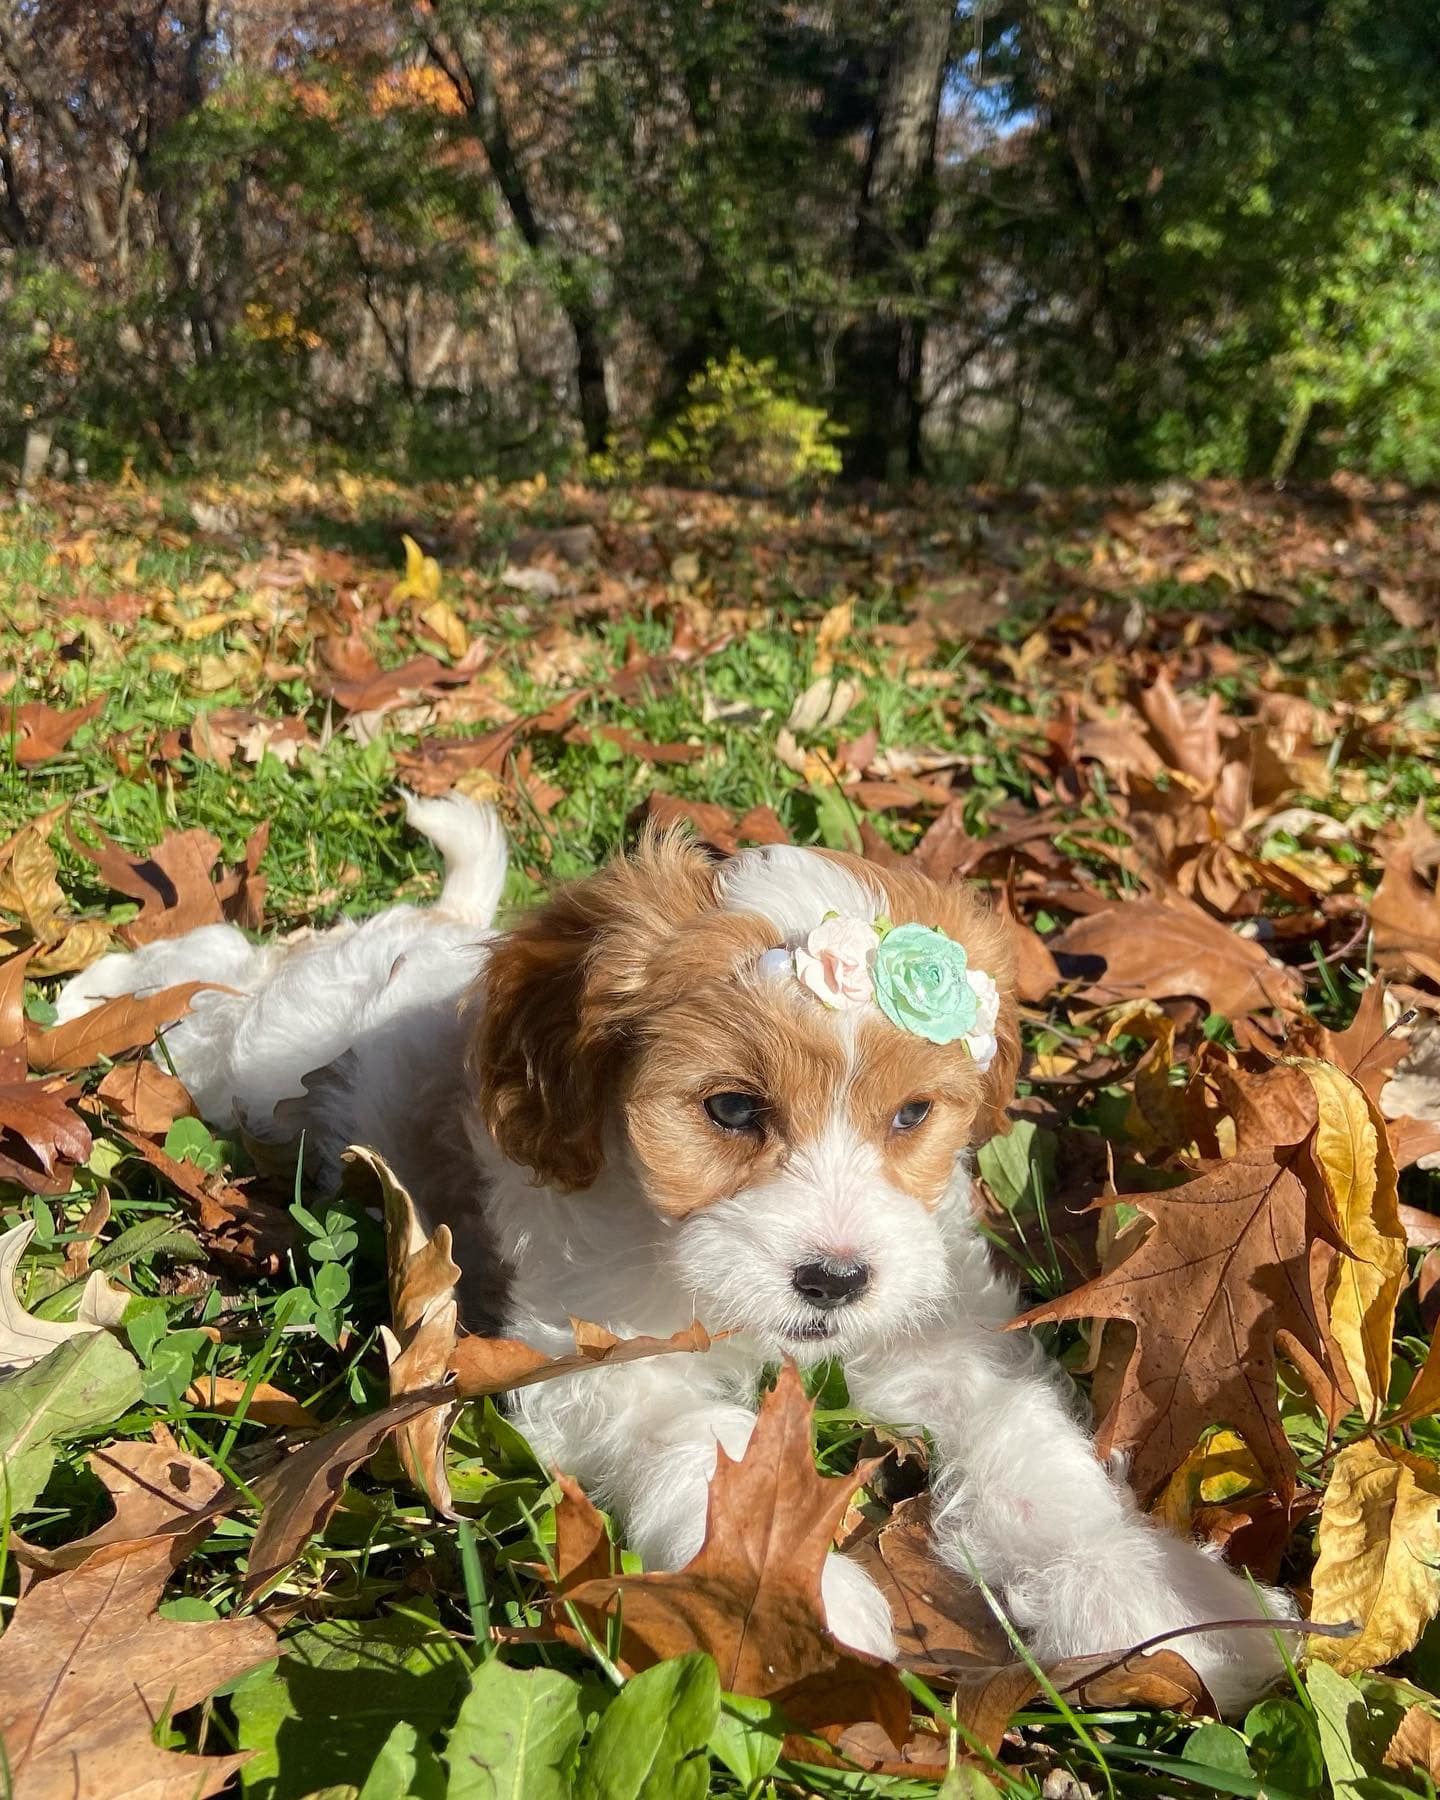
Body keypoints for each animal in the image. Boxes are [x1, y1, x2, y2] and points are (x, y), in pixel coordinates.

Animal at [56, 795, 1296, 1706]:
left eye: (911, 1118)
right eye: (733, 1110)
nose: (835, 1278)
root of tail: (438, 931)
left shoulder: (940, 1335)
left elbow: (1033, 1462)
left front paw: (1162, 1601)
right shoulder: (601, 1361)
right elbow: (707, 1443)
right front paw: (790, 1593)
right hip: (259, 1062)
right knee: (215, 975)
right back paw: (93, 990)